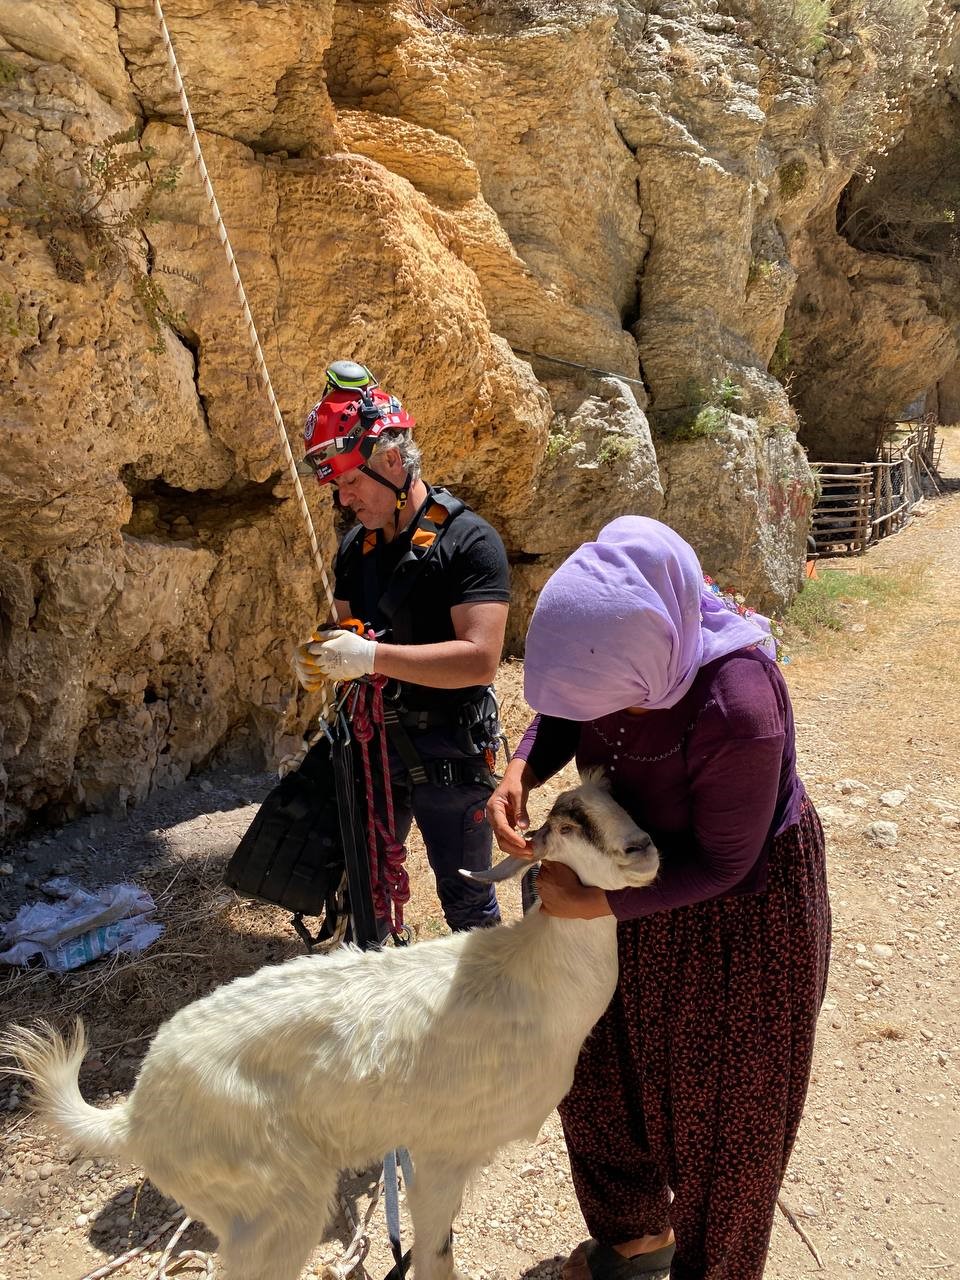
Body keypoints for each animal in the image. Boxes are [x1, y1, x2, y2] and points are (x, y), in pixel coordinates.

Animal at [1, 773, 660, 1280]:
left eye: (619, 802)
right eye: (568, 828)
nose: (643, 851)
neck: (532, 979)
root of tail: (137, 1113)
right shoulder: (443, 1152)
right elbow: (436, 1256)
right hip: (273, 1211)